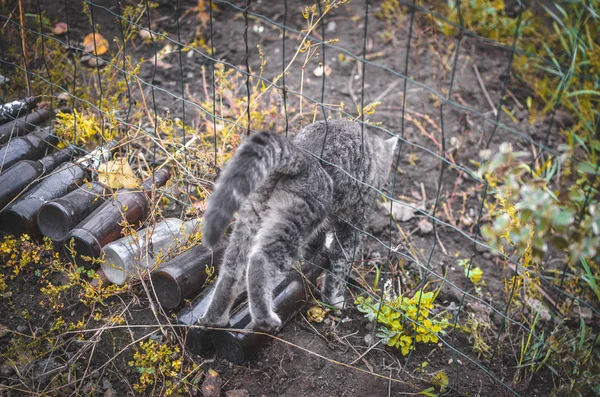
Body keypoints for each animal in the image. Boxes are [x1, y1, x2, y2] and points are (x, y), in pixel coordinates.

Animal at [199, 118, 400, 332]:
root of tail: (303, 153)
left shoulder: (326, 224)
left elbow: (317, 245)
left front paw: (310, 259)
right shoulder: (353, 225)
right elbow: (339, 265)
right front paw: (333, 300)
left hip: (252, 216)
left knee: (231, 268)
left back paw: (214, 318)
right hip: (295, 223)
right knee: (259, 261)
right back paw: (265, 319)